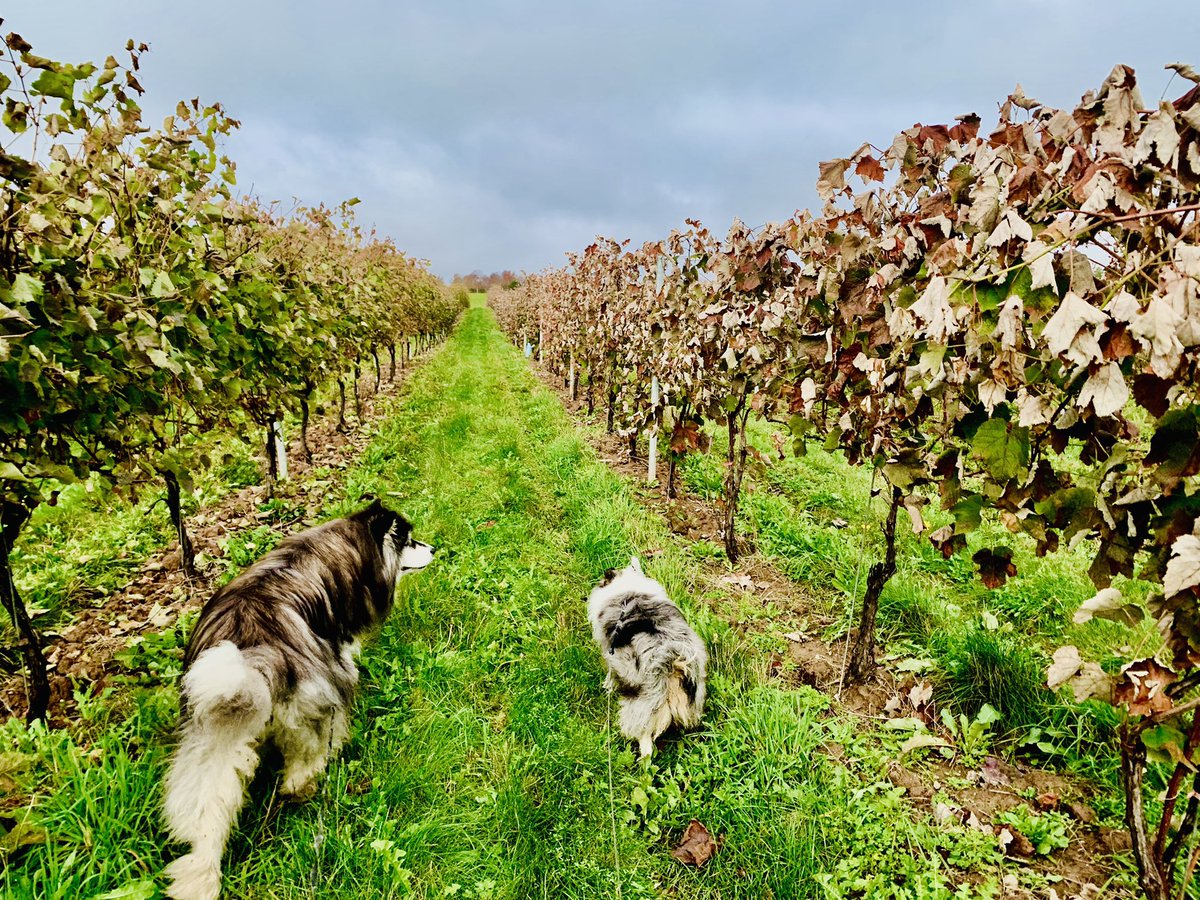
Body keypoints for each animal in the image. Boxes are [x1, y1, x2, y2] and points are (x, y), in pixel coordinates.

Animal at [162, 501, 434, 900]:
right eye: (408, 541)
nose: (435, 550)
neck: (343, 546)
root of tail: (254, 657)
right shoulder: (337, 654)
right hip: (314, 710)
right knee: (305, 763)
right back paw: (307, 786)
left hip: (214, 735)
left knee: (206, 810)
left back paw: (200, 877)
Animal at [588, 556, 705, 763]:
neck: (627, 590)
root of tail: (673, 663)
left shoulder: (609, 651)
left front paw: (607, 686)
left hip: (642, 706)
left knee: (645, 740)